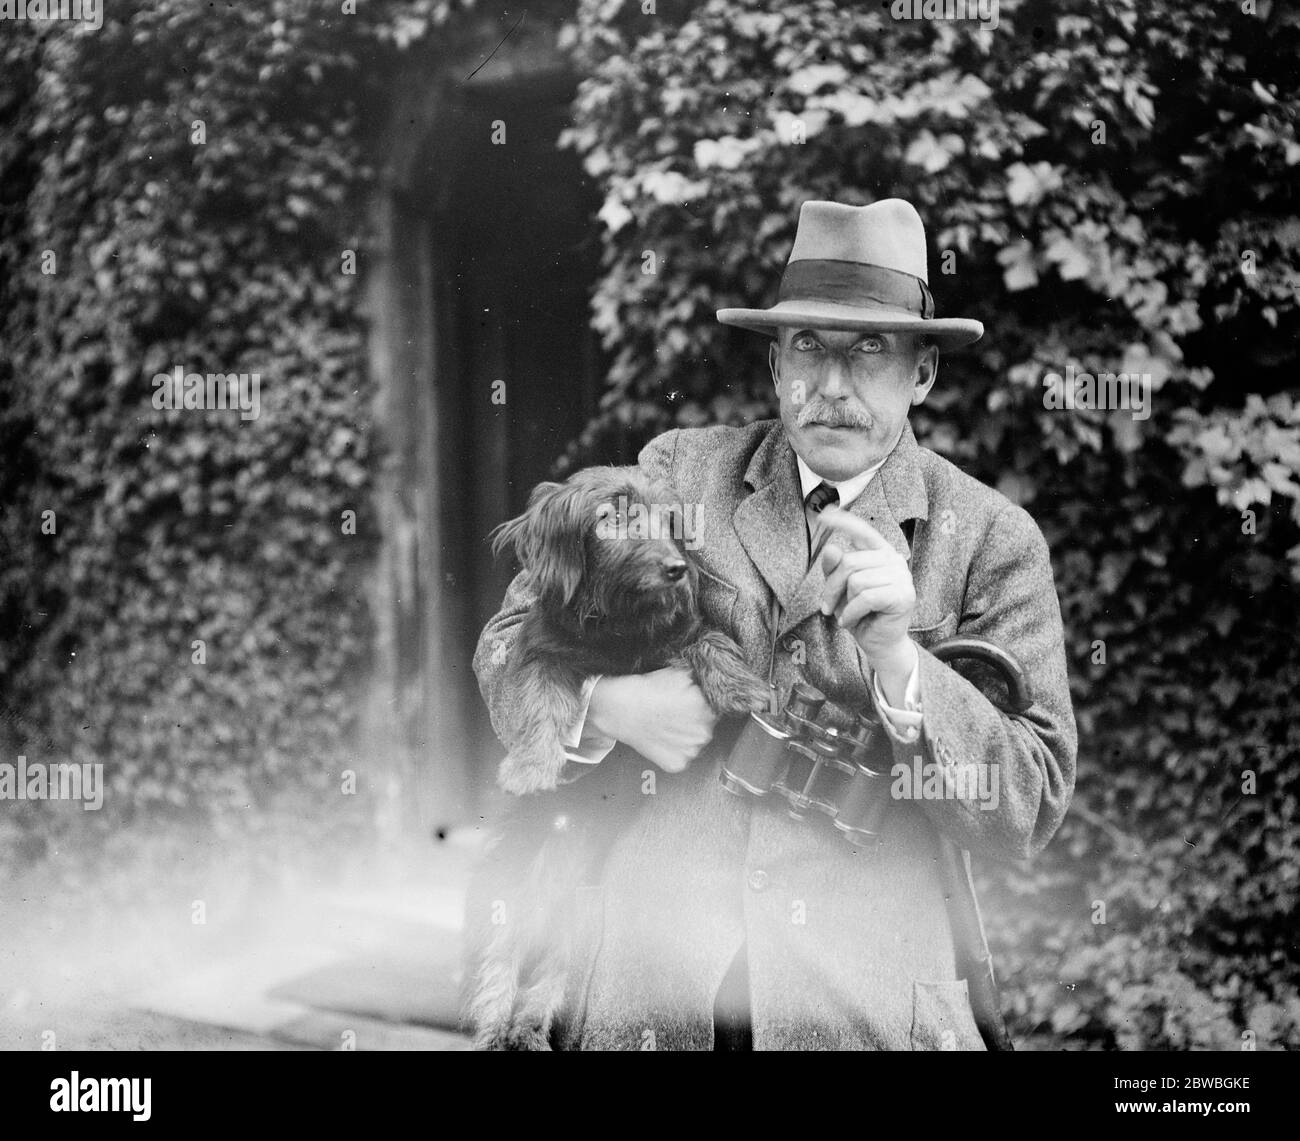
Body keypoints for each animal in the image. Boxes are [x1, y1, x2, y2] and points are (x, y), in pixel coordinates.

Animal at [465, 465, 769, 1055]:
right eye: (612, 518)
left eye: (669, 520)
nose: (677, 569)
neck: (621, 619)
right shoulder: (540, 654)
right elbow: (541, 703)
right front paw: (530, 768)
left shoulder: (680, 633)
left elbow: (712, 640)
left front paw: (741, 687)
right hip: (509, 894)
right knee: (500, 965)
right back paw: (495, 1032)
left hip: (581, 922)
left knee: (549, 978)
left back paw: (529, 1031)